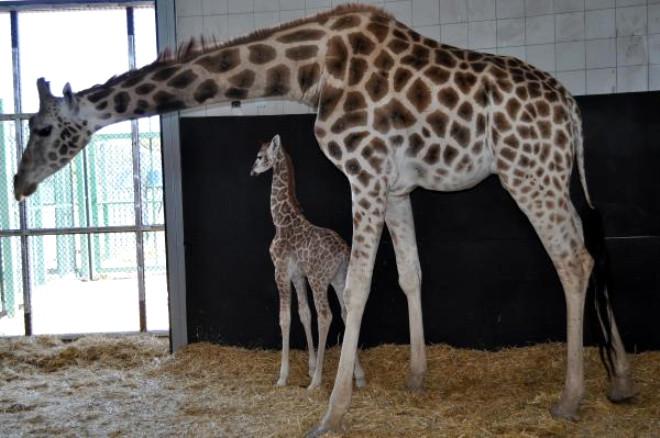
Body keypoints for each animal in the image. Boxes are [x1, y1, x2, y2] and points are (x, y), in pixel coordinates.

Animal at [251, 134, 366, 390]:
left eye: (260, 156)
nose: (252, 171)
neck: (281, 220)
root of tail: (344, 252)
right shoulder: (297, 275)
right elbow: (304, 313)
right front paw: (311, 366)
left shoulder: (281, 272)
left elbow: (285, 318)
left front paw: (283, 376)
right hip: (338, 279)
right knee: (346, 313)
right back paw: (358, 376)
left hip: (318, 279)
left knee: (326, 315)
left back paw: (316, 382)